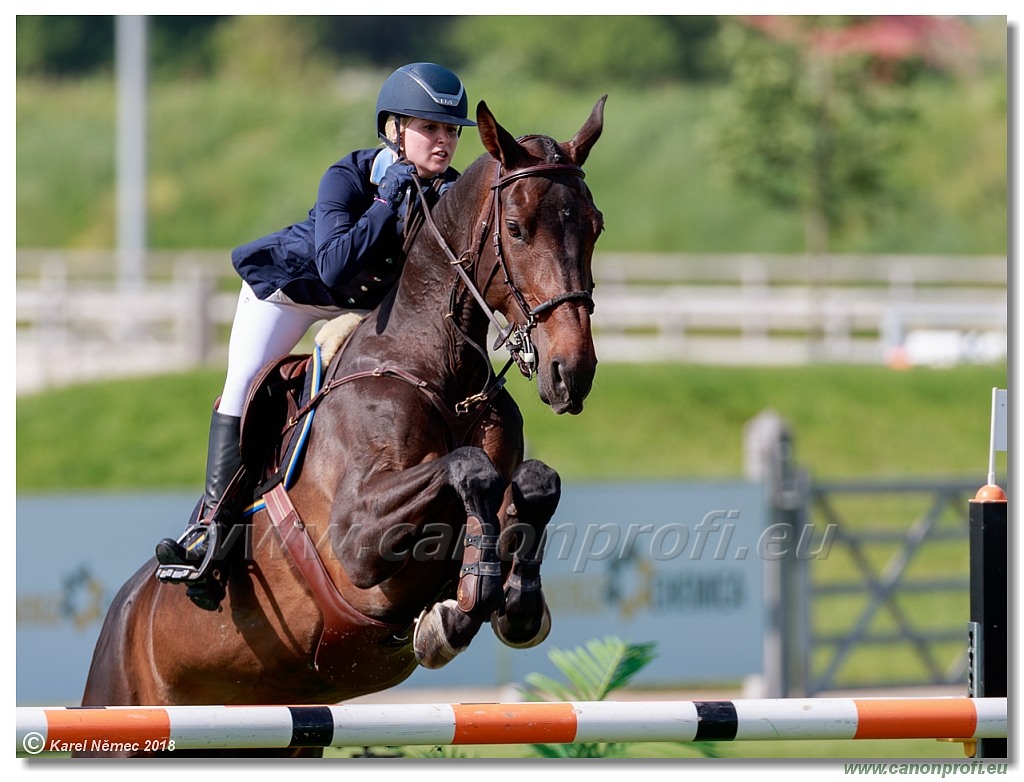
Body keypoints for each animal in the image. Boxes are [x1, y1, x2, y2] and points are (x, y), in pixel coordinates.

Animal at [79, 93, 606, 757]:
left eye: (595, 225)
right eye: (516, 228)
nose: (572, 372)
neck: (441, 375)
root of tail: (122, 614)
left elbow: (533, 483)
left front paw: (512, 602)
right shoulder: (357, 538)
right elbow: (469, 471)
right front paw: (462, 605)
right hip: (121, 707)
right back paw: (198, 552)